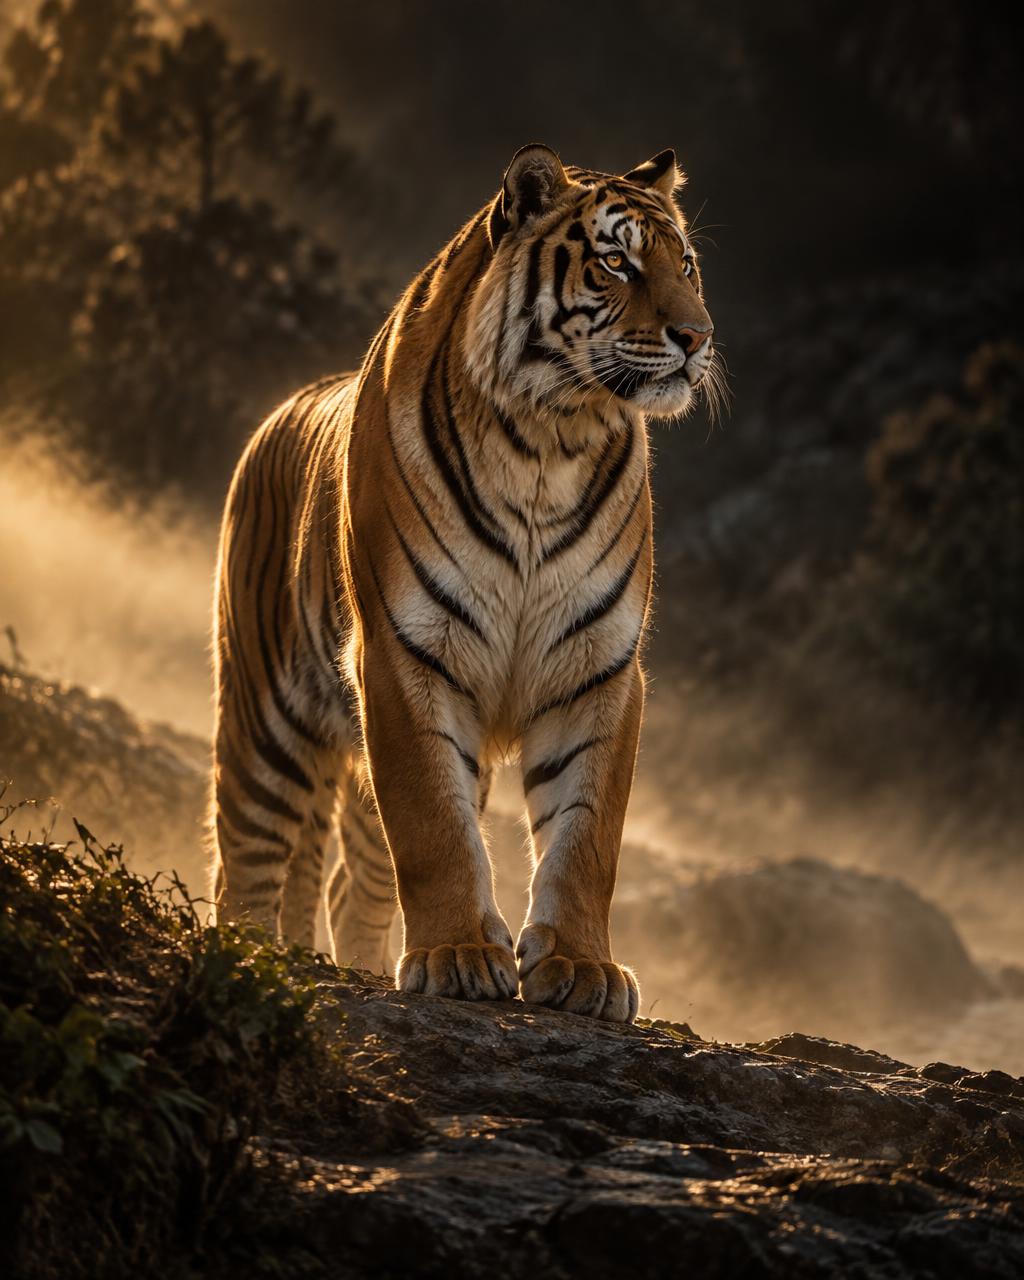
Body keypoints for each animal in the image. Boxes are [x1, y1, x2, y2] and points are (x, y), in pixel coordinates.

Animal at [211, 144, 716, 1023]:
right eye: (616, 262)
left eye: (683, 264)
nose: (697, 335)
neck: (551, 437)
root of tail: (281, 409)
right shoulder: (404, 652)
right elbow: (432, 826)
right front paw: (455, 956)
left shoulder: (599, 666)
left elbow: (588, 835)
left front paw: (581, 968)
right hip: (264, 714)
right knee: (244, 861)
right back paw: (255, 957)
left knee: (344, 879)